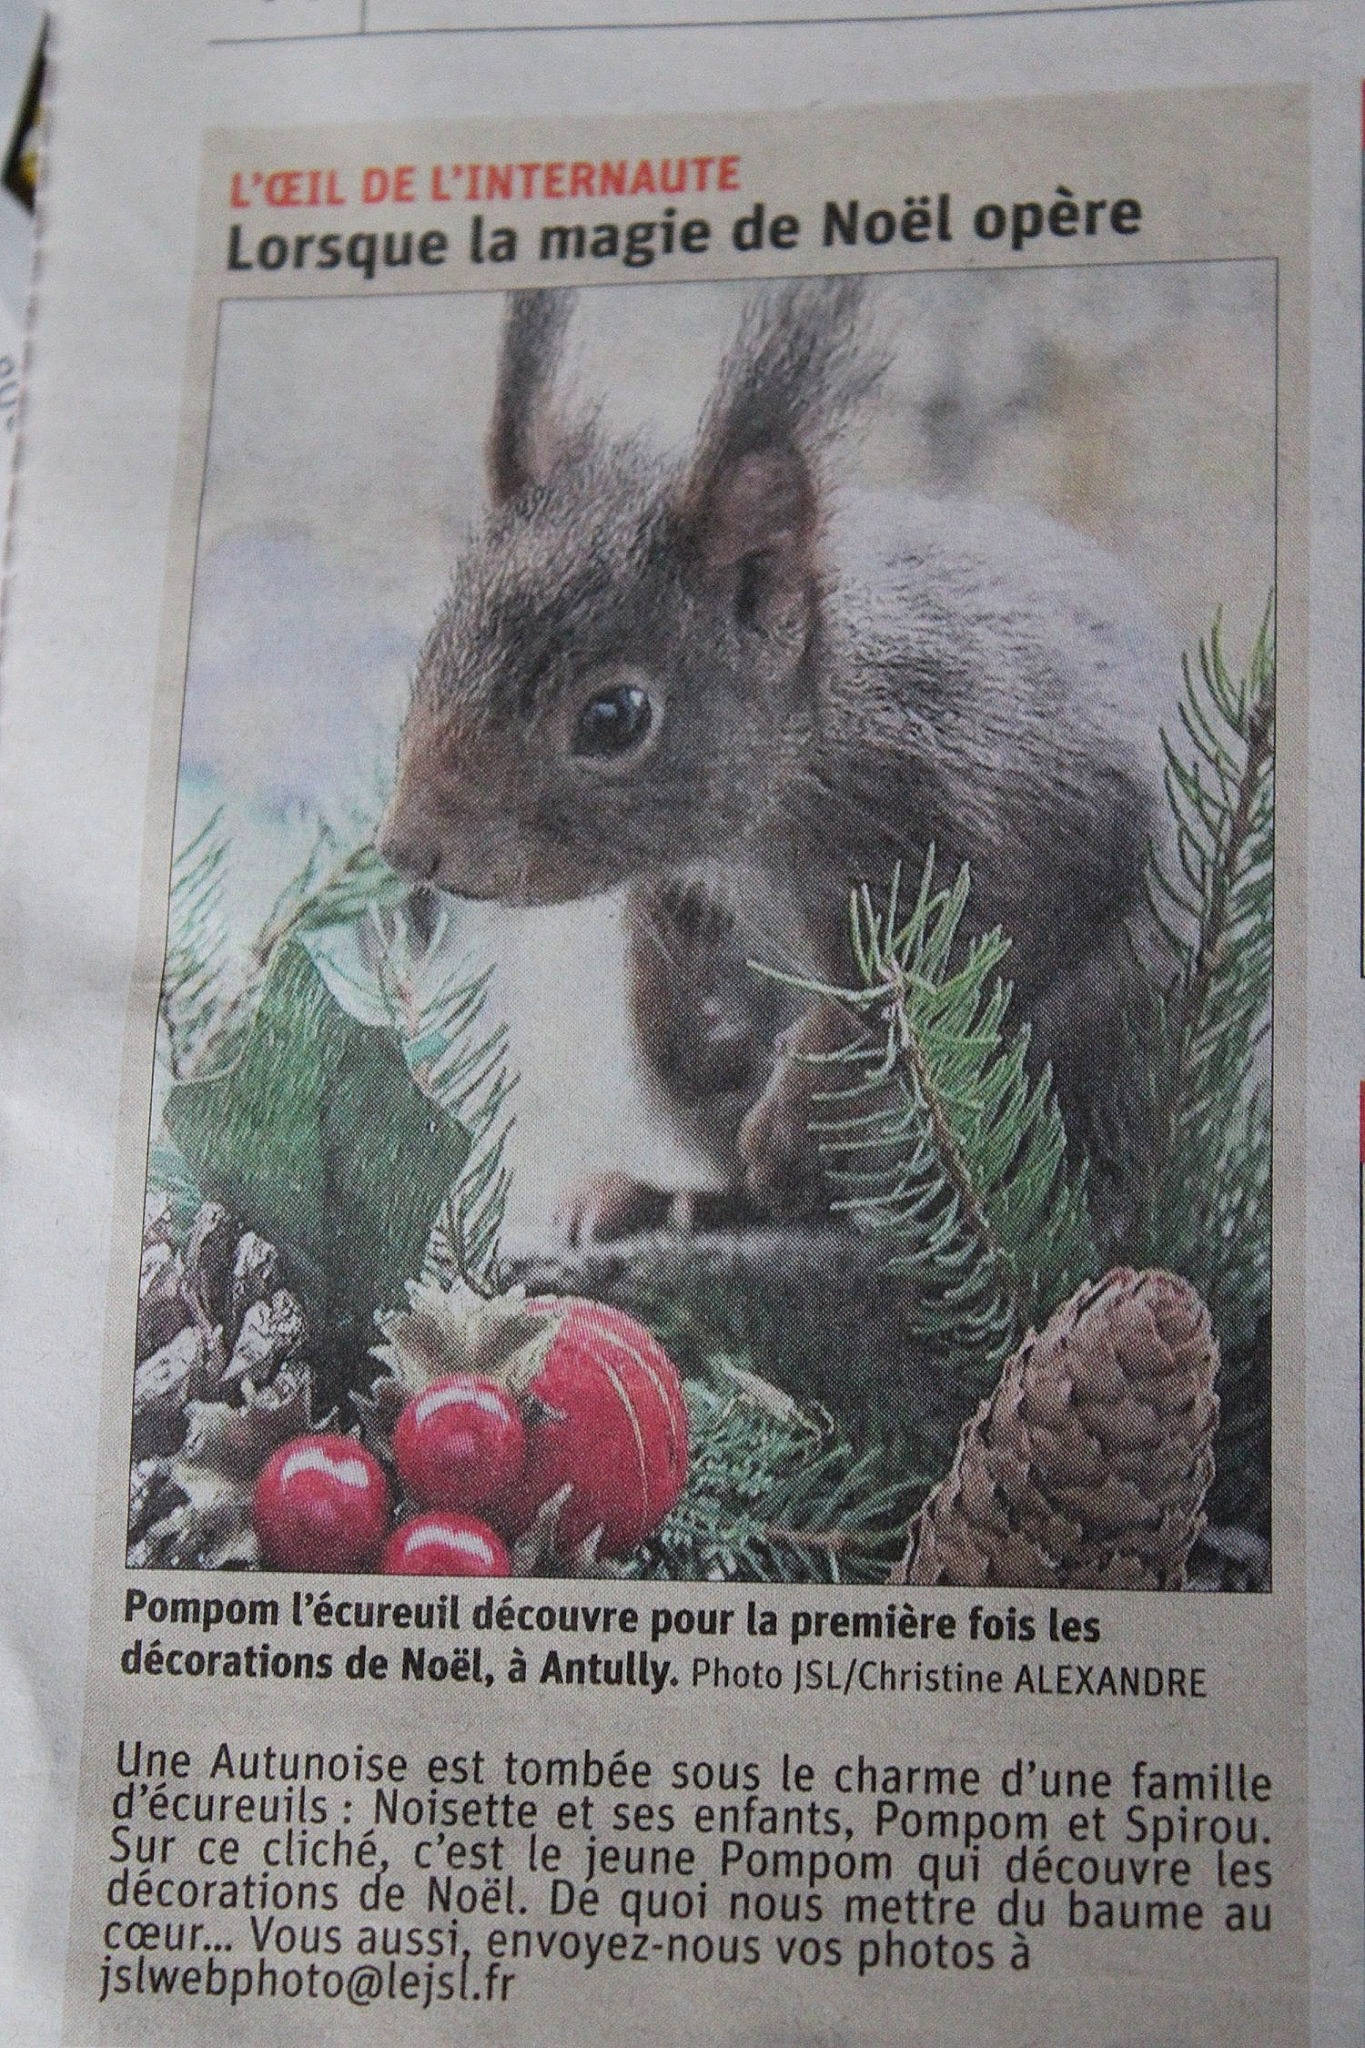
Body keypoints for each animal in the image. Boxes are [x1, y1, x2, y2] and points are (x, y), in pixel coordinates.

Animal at [378, 279, 1175, 1243]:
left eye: (613, 717)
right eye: (437, 641)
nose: (405, 846)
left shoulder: (1004, 808)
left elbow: (927, 979)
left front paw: (792, 1118)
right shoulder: (686, 882)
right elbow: (669, 967)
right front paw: (704, 1043)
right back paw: (657, 1196)